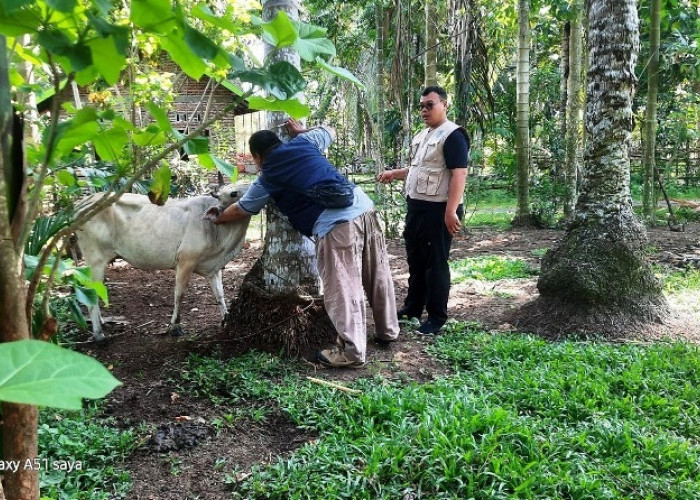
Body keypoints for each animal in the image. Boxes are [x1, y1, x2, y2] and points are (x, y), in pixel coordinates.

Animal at [76, 185, 250, 344]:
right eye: (233, 193)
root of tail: (83, 203)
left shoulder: (213, 268)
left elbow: (220, 294)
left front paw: (225, 318)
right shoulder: (185, 261)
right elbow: (179, 295)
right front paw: (175, 327)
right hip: (95, 259)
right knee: (91, 292)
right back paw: (99, 335)